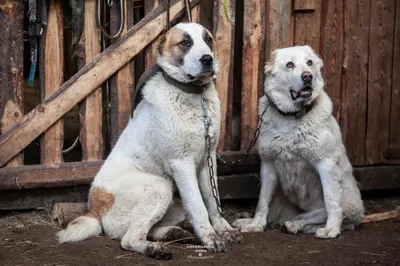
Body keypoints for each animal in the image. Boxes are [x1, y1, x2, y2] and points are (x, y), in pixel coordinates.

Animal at [56, 23, 242, 260]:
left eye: (208, 39)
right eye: (185, 42)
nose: (207, 59)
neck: (195, 96)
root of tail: (94, 209)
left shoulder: (207, 161)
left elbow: (212, 201)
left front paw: (224, 230)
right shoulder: (182, 165)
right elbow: (199, 206)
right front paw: (211, 238)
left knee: (150, 228)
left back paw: (175, 233)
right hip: (160, 188)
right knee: (129, 239)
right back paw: (157, 248)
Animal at [233, 45, 364, 239]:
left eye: (309, 62)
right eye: (290, 64)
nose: (307, 76)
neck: (291, 117)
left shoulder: (326, 165)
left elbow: (331, 202)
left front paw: (331, 229)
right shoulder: (268, 164)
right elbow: (262, 202)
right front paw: (255, 225)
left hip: (344, 206)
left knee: (311, 218)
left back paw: (296, 226)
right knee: (279, 215)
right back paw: (252, 221)